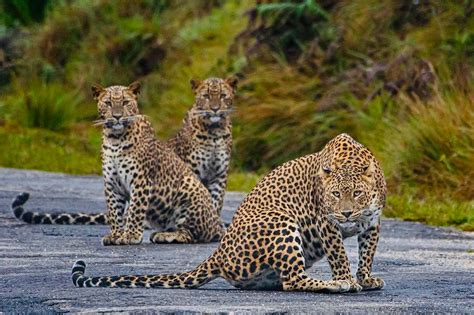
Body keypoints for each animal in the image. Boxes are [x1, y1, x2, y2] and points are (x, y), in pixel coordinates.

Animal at [12, 82, 224, 246]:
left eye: (125, 102)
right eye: (107, 103)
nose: (117, 116)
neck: (115, 139)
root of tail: (217, 224)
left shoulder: (141, 181)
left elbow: (135, 210)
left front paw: (130, 236)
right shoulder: (111, 183)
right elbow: (114, 211)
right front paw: (115, 235)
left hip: (190, 187)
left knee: (193, 234)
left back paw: (167, 235)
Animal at [72, 134, 386, 294]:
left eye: (357, 193)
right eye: (335, 195)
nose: (346, 214)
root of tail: (219, 253)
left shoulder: (373, 222)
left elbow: (367, 253)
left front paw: (366, 278)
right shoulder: (326, 223)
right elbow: (339, 255)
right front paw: (347, 279)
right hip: (280, 222)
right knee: (292, 281)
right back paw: (334, 285)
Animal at [168, 76, 239, 215]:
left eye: (223, 96)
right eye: (206, 96)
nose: (215, 109)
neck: (215, 133)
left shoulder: (219, 175)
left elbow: (215, 203)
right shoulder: (193, 172)